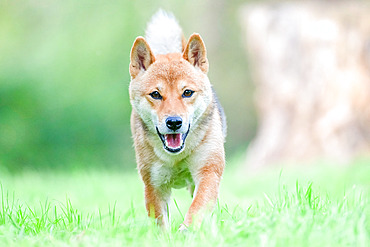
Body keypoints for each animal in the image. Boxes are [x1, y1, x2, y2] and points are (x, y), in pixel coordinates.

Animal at [129, 9, 227, 230]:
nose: (174, 122)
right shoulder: (154, 185)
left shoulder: (207, 172)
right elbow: (160, 224)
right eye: (156, 94)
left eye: (187, 92)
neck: (176, 158)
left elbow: (197, 207)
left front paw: (187, 231)